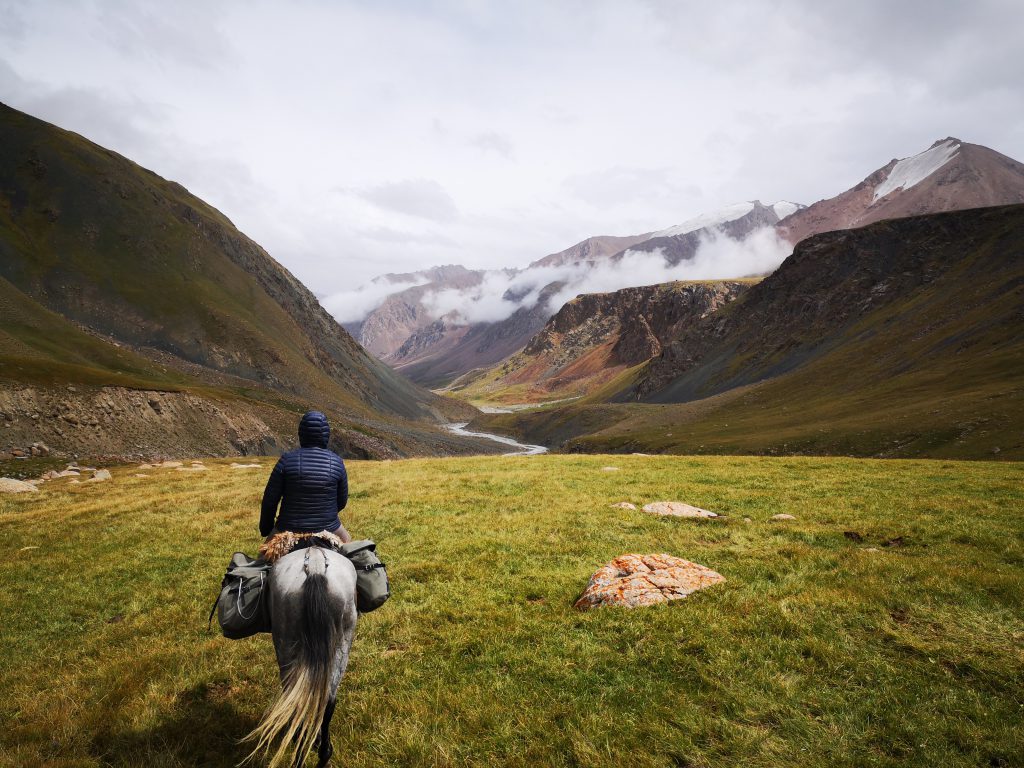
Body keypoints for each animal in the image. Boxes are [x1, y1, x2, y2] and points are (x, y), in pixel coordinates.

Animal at [245, 548, 358, 768]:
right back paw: (323, 753)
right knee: (327, 701)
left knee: (297, 700)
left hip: (286, 650)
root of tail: (315, 563)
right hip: (341, 647)